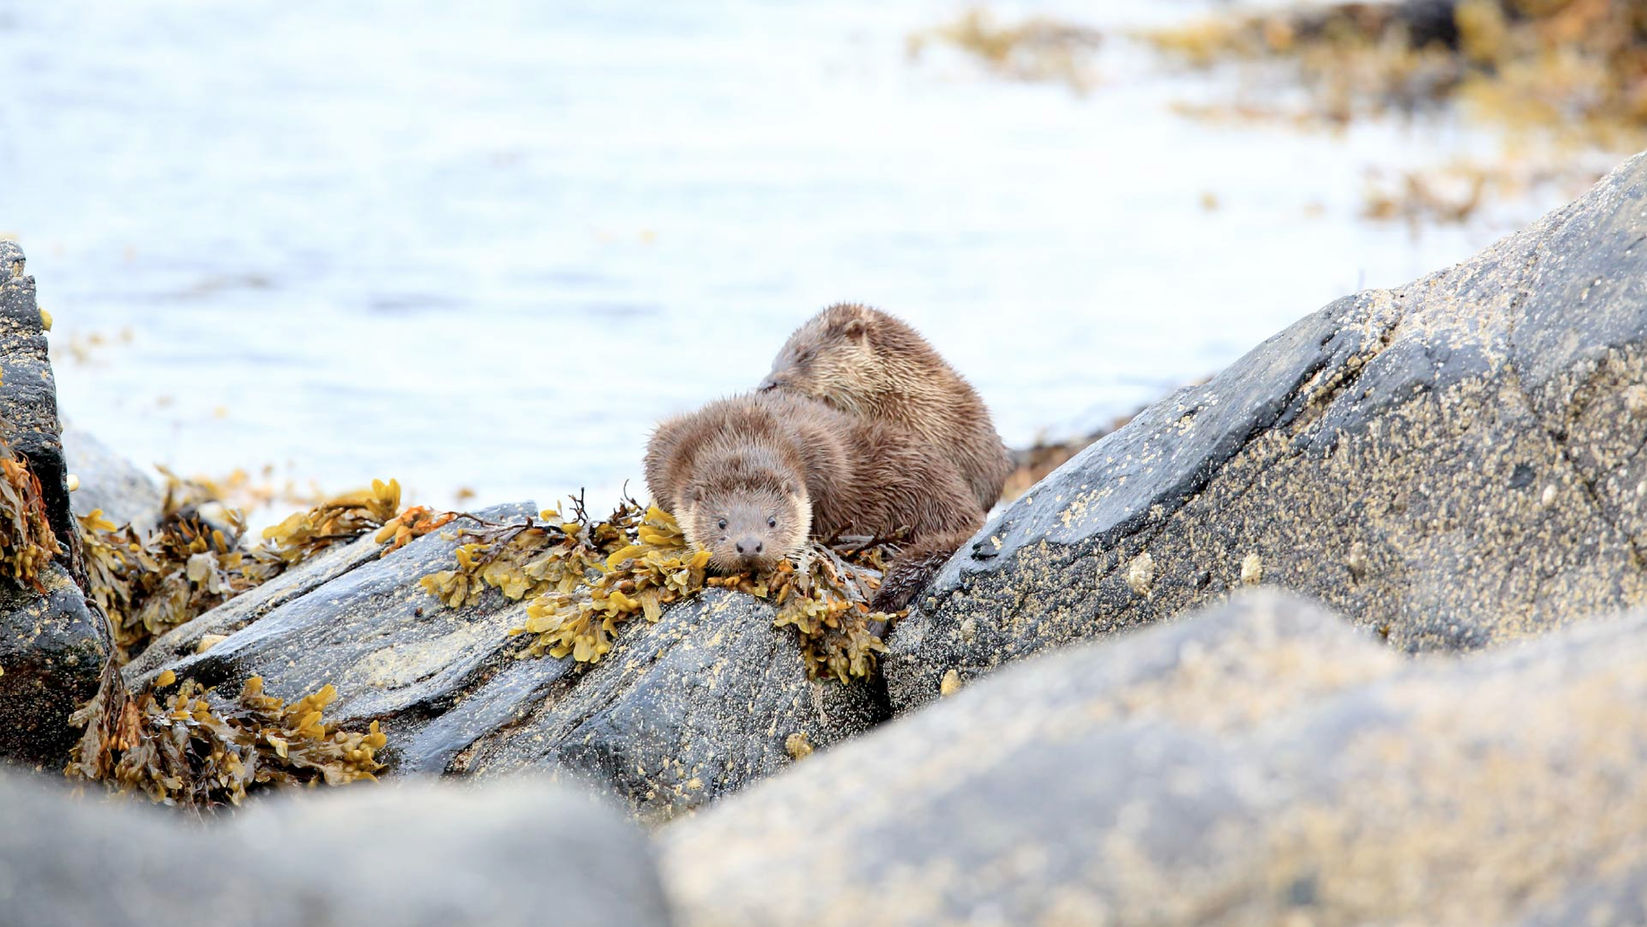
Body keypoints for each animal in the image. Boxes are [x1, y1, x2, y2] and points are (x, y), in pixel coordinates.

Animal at [644, 391, 981, 609]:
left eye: (772, 520)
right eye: (721, 523)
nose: (749, 545)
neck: (740, 434)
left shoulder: (826, 450)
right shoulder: (667, 447)